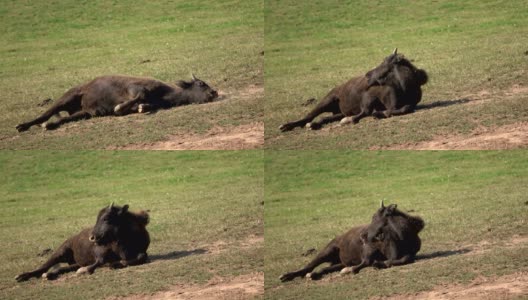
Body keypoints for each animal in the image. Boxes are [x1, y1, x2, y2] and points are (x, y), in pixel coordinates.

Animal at [14, 204, 150, 282]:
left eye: (106, 218)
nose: (92, 238)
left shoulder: (142, 252)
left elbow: (140, 257)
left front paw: (116, 264)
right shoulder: (99, 252)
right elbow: (100, 261)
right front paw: (84, 270)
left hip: (74, 263)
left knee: (62, 268)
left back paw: (49, 274)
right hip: (60, 252)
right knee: (43, 267)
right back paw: (23, 276)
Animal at [16, 73, 219, 131]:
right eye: (201, 83)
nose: (214, 92)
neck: (166, 93)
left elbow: (142, 105)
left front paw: (141, 108)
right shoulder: (136, 88)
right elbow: (135, 98)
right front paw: (120, 107)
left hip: (85, 113)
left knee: (63, 118)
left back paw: (49, 126)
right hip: (65, 99)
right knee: (46, 114)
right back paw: (23, 126)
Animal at [280, 200, 424, 282]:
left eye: (374, 216)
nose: (363, 236)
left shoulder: (409, 254)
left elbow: (404, 259)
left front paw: (380, 264)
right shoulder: (368, 251)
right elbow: (366, 262)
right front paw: (351, 270)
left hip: (339, 262)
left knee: (326, 268)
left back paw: (314, 275)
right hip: (327, 250)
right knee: (309, 266)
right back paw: (287, 276)